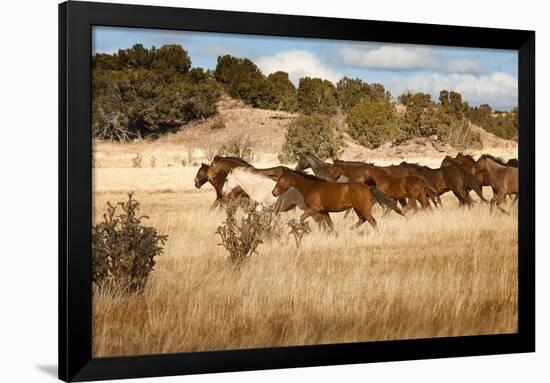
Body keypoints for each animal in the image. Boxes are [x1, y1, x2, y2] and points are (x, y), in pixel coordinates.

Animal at [272, 170, 406, 231]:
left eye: (281, 179)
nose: (274, 192)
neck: (311, 186)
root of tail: (368, 187)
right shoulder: (324, 212)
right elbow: (330, 226)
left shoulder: (313, 209)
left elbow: (302, 218)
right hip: (357, 209)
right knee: (362, 220)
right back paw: (350, 230)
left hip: (363, 208)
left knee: (373, 222)